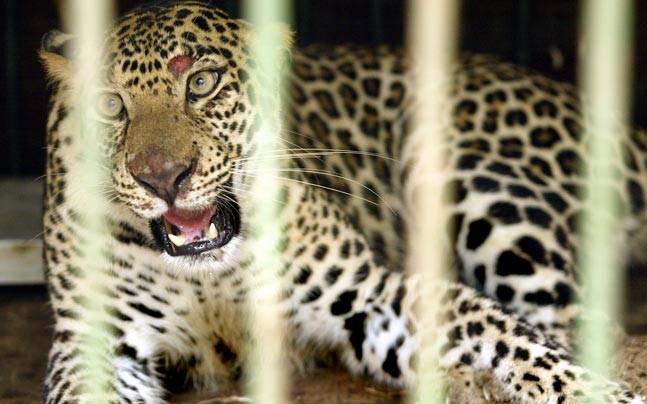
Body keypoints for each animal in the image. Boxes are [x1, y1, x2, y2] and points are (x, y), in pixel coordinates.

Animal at [40, 1, 647, 402]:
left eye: (202, 83)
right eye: (110, 106)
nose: (164, 179)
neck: (210, 276)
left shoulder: (369, 294)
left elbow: (503, 334)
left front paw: (601, 394)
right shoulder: (92, 346)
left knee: (579, 321)